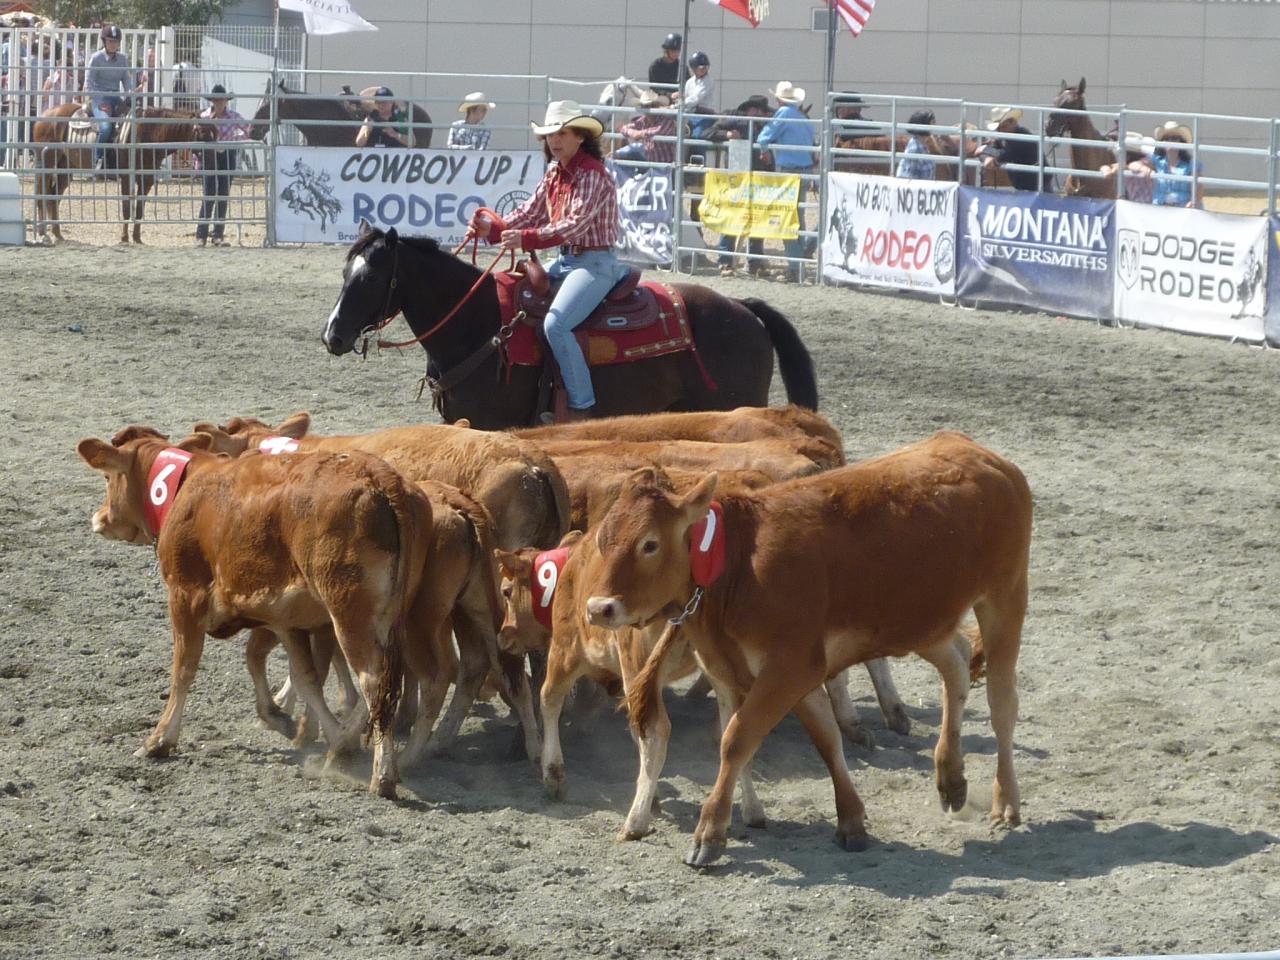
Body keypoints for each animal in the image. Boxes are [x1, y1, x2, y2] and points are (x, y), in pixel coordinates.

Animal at [33, 101, 199, 241]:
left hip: (66, 169)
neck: (145, 133)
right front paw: (124, 237)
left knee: (53, 197)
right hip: (46, 165)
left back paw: (57, 234)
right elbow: (126, 208)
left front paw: (137, 238)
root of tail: (44, 116)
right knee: (42, 196)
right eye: (203, 132)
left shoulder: (147, 180)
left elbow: (139, 209)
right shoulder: (126, 177)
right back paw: (42, 232)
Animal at [78, 427, 435, 798]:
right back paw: (345, 747)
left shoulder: (185, 597)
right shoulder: (285, 619)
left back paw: (383, 775)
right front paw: (297, 723)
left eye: (107, 477)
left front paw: (159, 739)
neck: (189, 489)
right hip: (388, 618)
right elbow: (303, 677)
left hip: (351, 618)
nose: (99, 518)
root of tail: (382, 479)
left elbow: (184, 670)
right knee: (387, 681)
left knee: (374, 682)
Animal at [586, 432, 1034, 870]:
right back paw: (951, 778)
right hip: (923, 623)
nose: (598, 608)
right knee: (956, 665)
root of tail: (978, 452)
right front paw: (851, 819)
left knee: (1001, 703)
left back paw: (1005, 800)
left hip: (1005, 597)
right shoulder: (739, 671)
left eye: (649, 544)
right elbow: (824, 737)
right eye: (603, 540)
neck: (741, 566)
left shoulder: (789, 668)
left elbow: (737, 740)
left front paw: (709, 835)